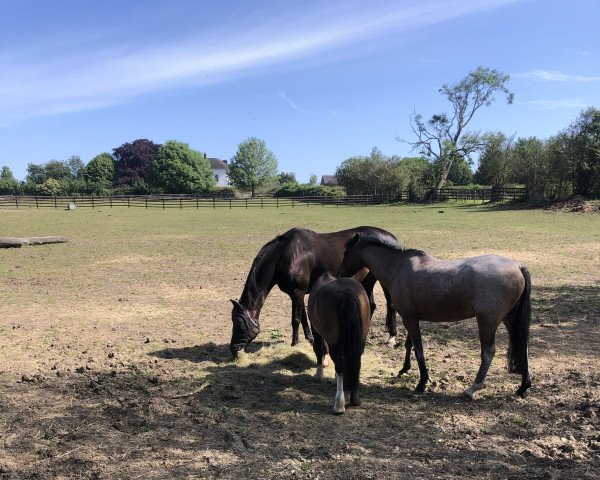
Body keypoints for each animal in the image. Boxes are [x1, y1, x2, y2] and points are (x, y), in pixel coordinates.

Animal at [310, 272, 370, 414]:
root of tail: (345, 292)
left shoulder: (316, 330)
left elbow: (319, 349)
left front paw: (319, 373)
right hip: (360, 339)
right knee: (356, 362)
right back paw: (355, 399)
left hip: (334, 341)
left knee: (340, 365)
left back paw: (339, 404)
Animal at [340, 234, 532, 400]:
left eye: (346, 253)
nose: (340, 273)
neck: (399, 267)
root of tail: (517, 267)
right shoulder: (411, 318)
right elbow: (409, 345)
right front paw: (404, 369)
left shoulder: (409, 318)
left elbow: (418, 349)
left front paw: (422, 382)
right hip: (509, 319)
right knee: (522, 347)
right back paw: (523, 387)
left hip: (487, 321)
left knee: (488, 353)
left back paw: (472, 389)